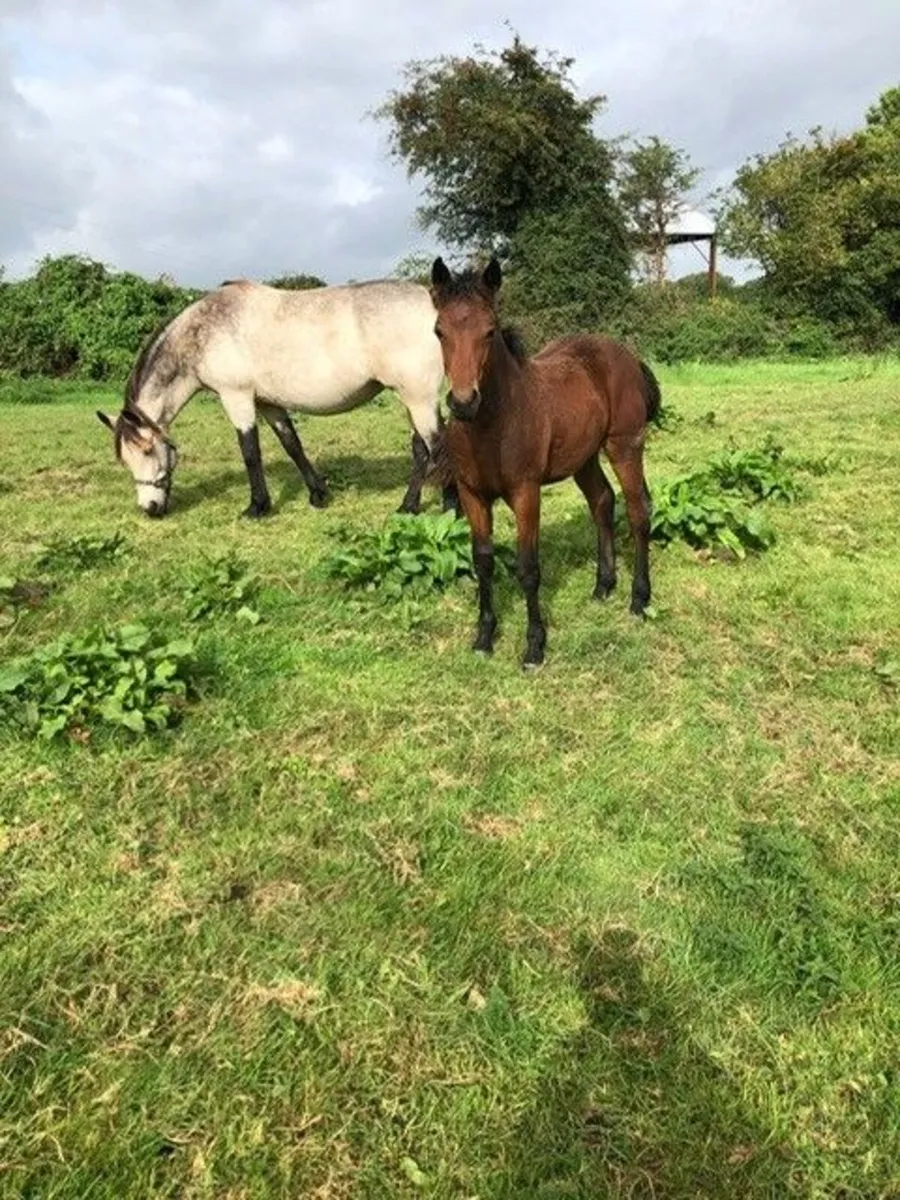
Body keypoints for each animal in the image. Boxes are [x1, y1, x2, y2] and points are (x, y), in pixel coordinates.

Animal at [96, 277, 456, 519]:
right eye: (126, 458)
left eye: (147, 450)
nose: (150, 508)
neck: (206, 329)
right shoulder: (268, 403)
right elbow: (292, 444)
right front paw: (318, 494)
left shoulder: (237, 397)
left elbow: (250, 451)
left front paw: (257, 506)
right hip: (413, 398)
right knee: (422, 450)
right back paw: (411, 506)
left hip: (419, 397)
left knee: (437, 446)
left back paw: (447, 507)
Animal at [429, 255, 660, 669]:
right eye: (439, 331)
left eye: (489, 331)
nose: (463, 402)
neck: (492, 425)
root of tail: (627, 355)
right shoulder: (472, 495)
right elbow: (483, 561)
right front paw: (484, 637)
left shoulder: (526, 493)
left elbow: (528, 568)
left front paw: (535, 646)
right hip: (584, 457)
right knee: (603, 501)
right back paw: (603, 585)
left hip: (624, 446)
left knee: (638, 511)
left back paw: (639, 598)